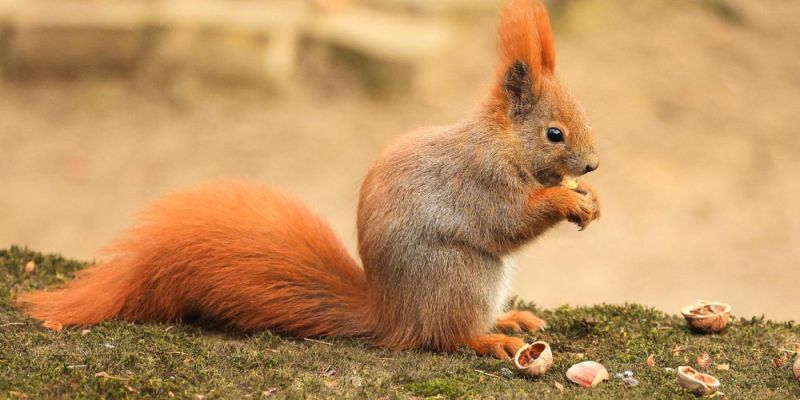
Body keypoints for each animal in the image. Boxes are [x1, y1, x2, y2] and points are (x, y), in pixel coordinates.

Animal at [17, 0, 600, 360]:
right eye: (554, 133)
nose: (593, 166)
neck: (504, 143)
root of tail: (391, 316)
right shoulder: (479, 179)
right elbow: (509, 219)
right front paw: (568, 202)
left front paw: (589, 198)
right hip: (461, 277)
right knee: (443, 338)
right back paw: (487, 340)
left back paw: (511, 320)